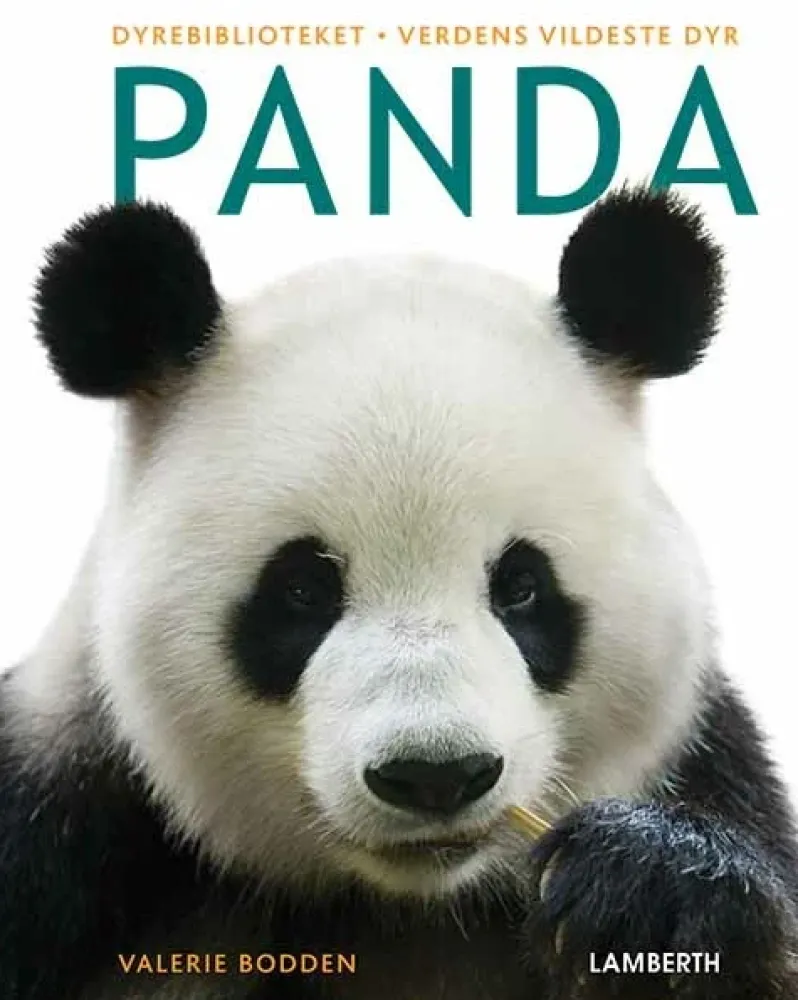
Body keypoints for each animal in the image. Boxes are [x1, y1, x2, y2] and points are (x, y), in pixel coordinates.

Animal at [1, 185, 796, 1000]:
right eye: (301, 590)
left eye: (521, 587)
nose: (435, 776)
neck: (407, 905)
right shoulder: (60, 822)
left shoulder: (707, 765)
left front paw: (648, 891)